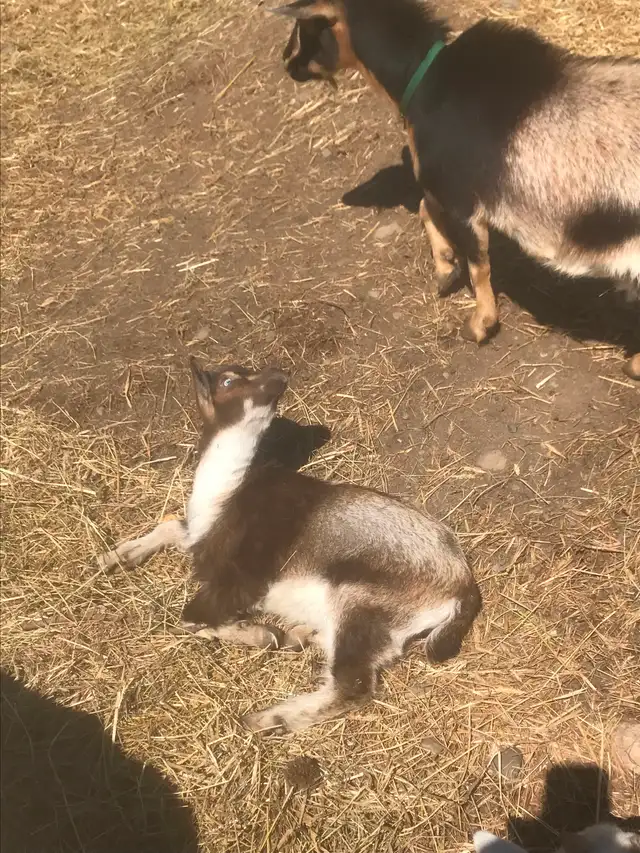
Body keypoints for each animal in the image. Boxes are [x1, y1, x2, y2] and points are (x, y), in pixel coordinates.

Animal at [98, 360, 481, 733]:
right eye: (228, 380)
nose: (280, 375)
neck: (226, 493)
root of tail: (462, 588)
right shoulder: (203, 540)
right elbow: (171, 529)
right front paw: (114, 557)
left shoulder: (239, 578)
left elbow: (189, 618)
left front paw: (260, 634)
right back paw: (300, 636)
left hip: (362, 606)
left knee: (352, 685)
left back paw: (266, 719)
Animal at [274, 0, 640, 380]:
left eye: (305, 27)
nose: (287, 62)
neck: (426, 79)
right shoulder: (443, 186)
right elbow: (425, 207)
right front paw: (446, 269)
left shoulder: (463, 197)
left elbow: (478, 264)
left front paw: (479, 324)